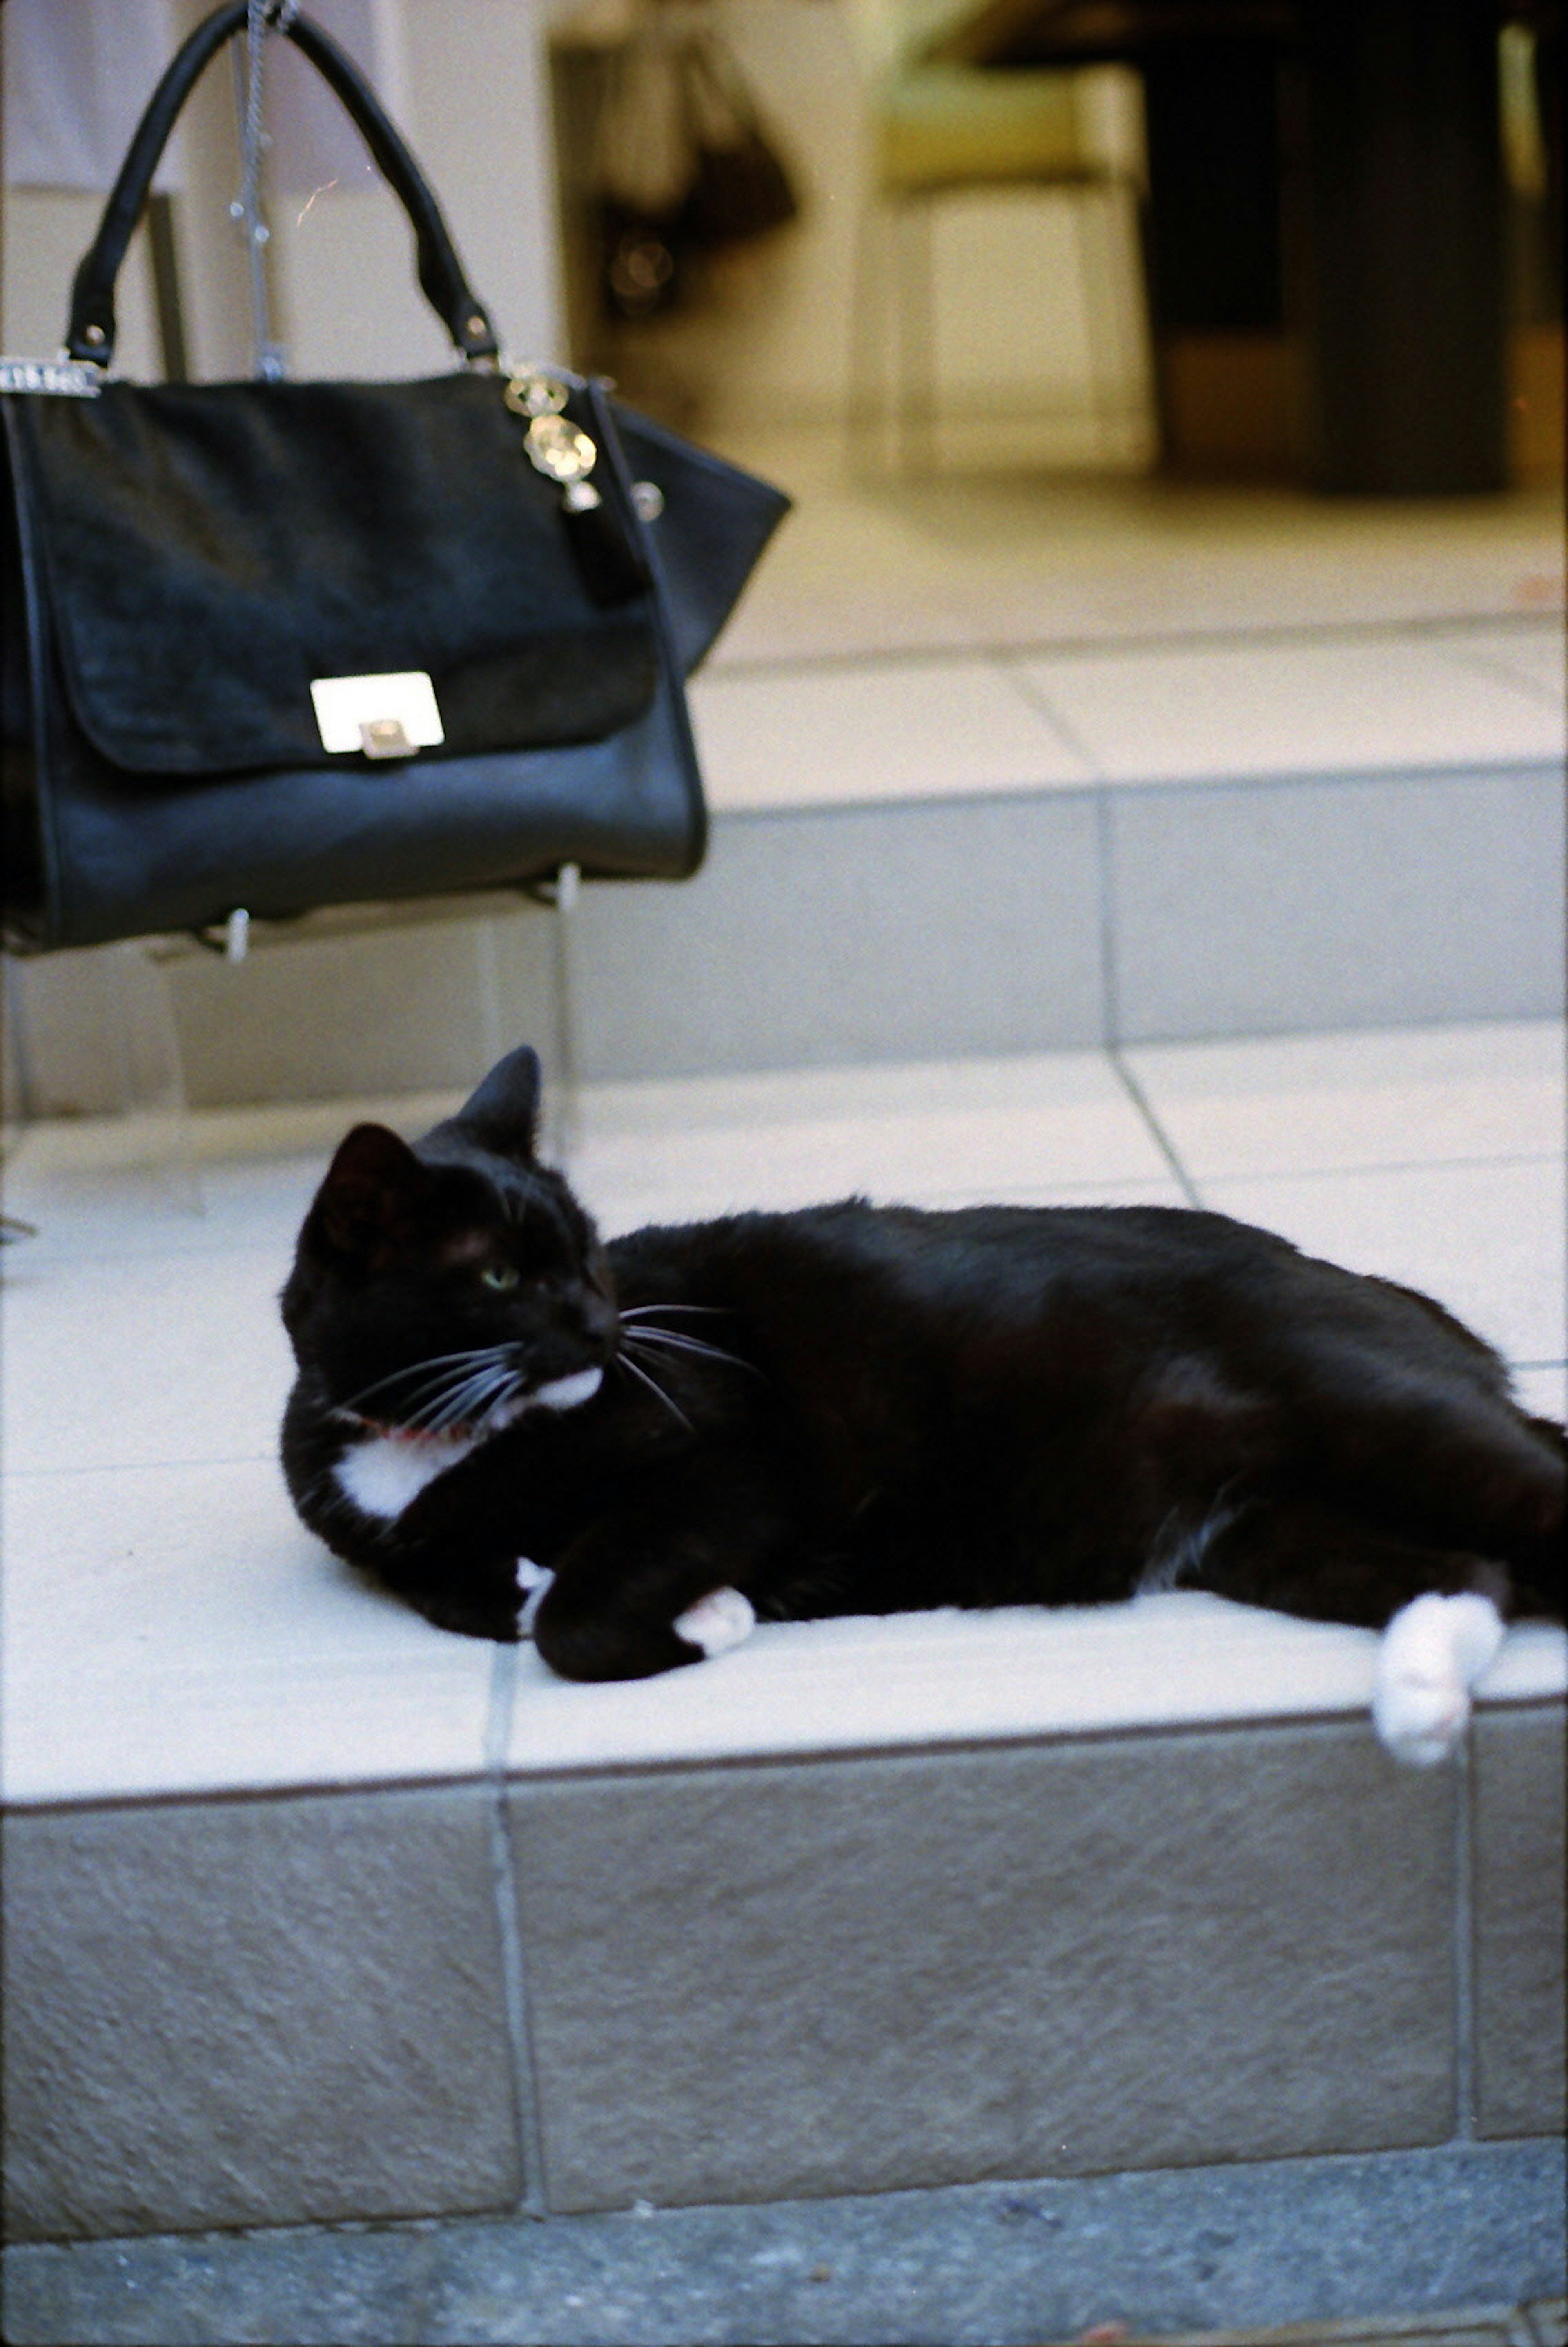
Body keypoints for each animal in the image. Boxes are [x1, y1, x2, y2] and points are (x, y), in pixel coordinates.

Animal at [276, 1046, 1559, 1765]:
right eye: (500, 1276)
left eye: (588, 1252)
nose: (604, 1324)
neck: (442, 1441)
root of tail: (1413, 1308)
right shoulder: (403, 1543)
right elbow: (469, 1592)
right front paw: (600, 1587)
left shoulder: (736, 1453)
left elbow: (571, 1616)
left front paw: (706, 1619)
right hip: (1267, 1527)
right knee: (1472, 1574)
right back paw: (1422, 1704)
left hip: (1382, 1419)